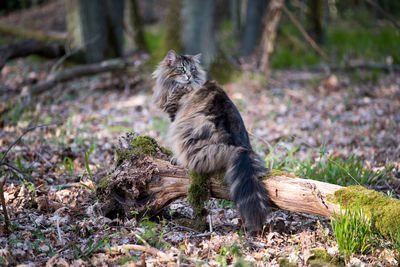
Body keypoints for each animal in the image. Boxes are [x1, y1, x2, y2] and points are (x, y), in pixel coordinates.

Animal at [152, 50, 270, 232]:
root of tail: (240, 148)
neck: (176, 86)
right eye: (181, 68)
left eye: (192, 69)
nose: (188, 76)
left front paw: (173, 158)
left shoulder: (174, 116)